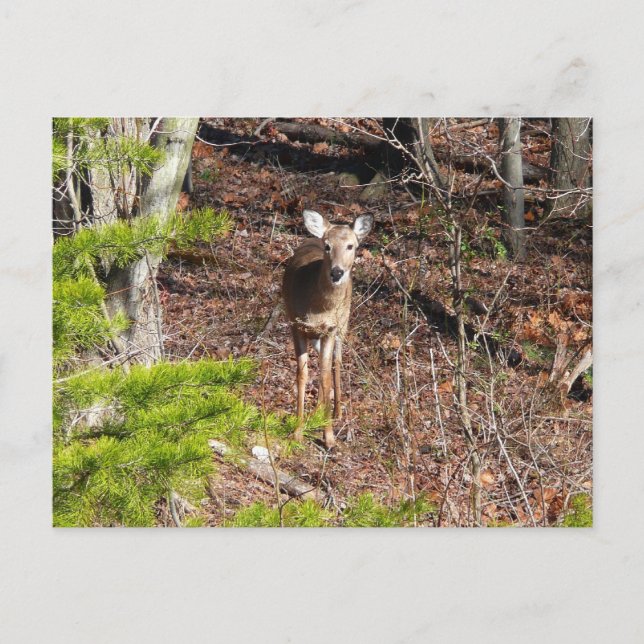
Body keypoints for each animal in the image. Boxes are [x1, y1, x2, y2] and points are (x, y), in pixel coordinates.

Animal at [282, 209, 373, 448]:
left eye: (351, 246)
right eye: (327, 246)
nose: (337, 272)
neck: (319, 308)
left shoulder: (330, 329)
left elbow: (324, 376)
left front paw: (329, 437)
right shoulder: (296, 325)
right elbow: (302, 374)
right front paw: (297, 431)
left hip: (344, 323)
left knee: (336, 362)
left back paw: (336, 412)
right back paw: (317, 412)